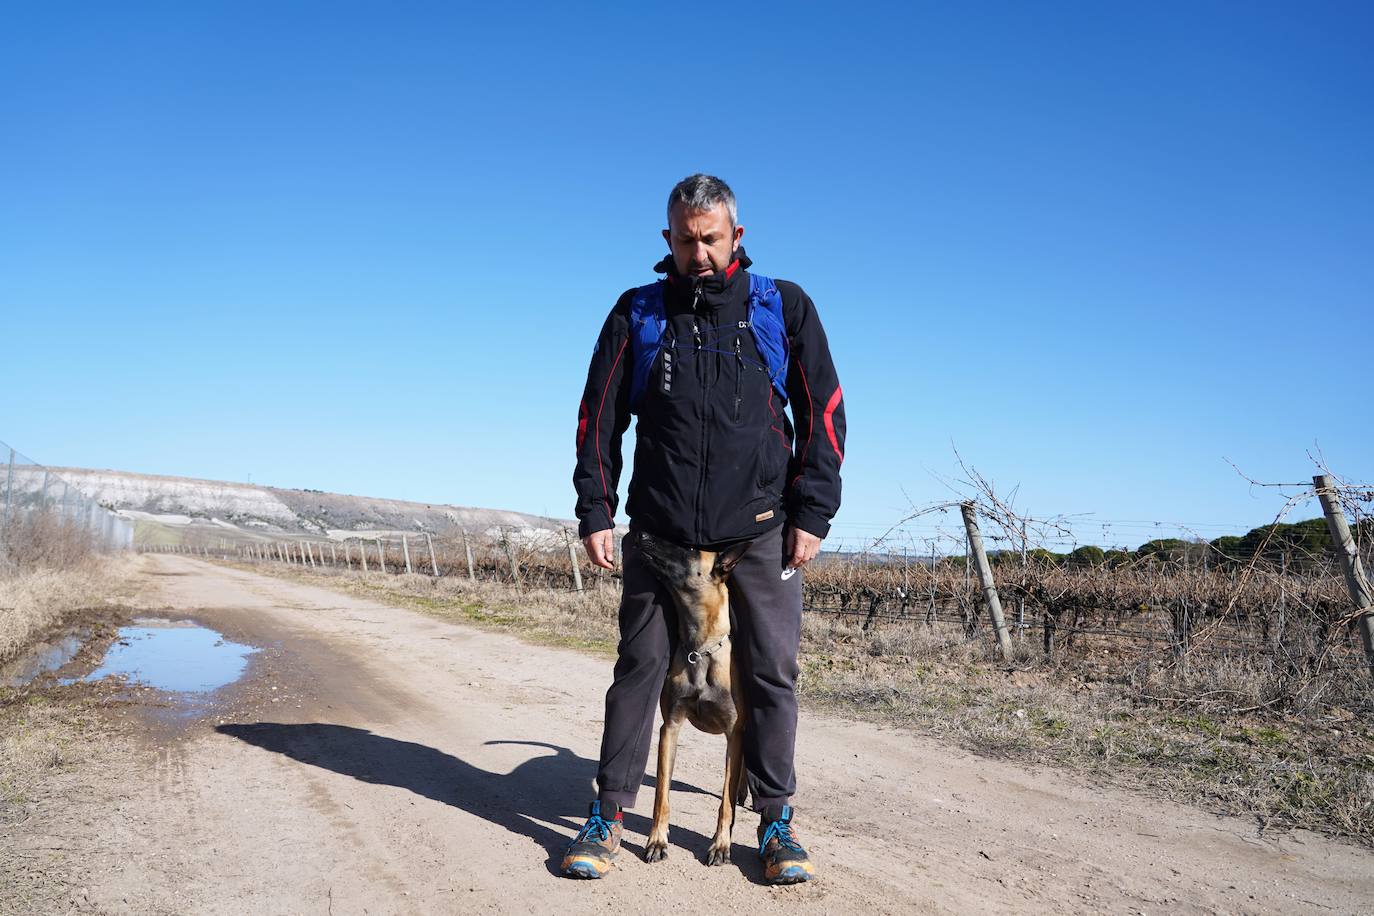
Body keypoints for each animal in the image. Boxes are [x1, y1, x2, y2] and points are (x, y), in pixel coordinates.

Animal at [632, 530, 752, 867]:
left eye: (688, 548)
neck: (701, 648)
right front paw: (657, 841)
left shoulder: (734, 734)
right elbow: (661, 793)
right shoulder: (670, 727)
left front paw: (721, 845)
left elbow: (725, 803)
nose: (641, 532)